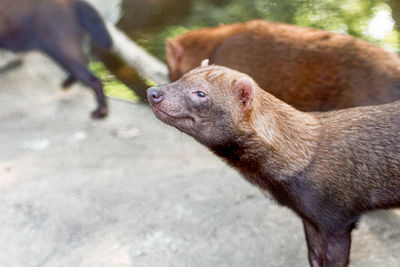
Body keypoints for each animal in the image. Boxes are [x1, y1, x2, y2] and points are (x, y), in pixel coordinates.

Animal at [147, 65, 400, 267]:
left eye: (200, 93)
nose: (153, 92)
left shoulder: (336, 220)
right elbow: (314, 257)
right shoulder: (310, 219)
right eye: (180, 77)